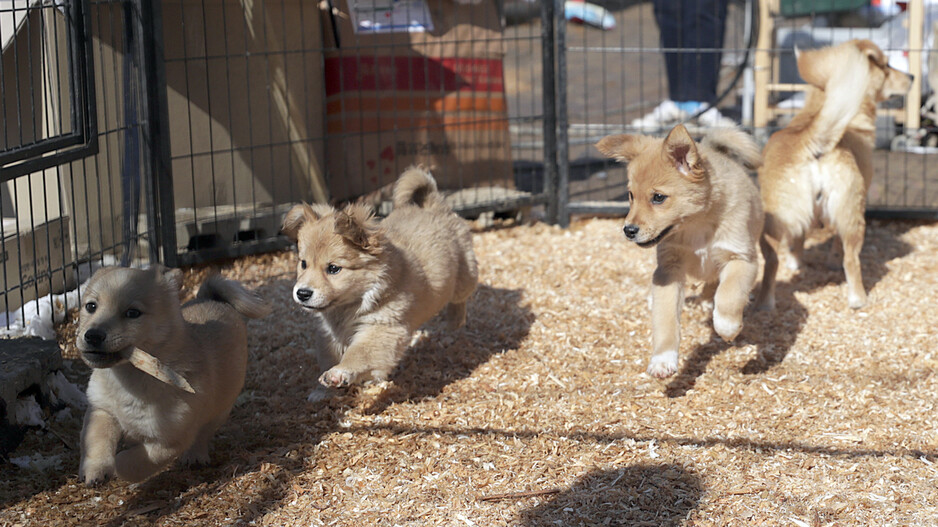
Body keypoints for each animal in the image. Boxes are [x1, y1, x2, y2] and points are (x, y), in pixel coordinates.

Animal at [76, 266, 268, 484]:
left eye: (132, 313)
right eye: (91, 306)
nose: (93, 335)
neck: (128, 378)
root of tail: (211, 298)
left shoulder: (169, 440)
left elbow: (135, 462)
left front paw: (119, 467)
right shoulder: (101, 409)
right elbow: (96, 440)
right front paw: (95, 470)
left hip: (219, 411)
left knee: (203, 434)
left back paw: (195, 455)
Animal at [280, 167, 478, 398]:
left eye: (333, 269)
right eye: (303, 263)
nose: (302, 293)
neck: (351, 306)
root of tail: (433, 206)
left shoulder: (383, 329)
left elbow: (357, 355)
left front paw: (339, 373)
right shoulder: (330, 335)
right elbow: (329, 358)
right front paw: (324, 392)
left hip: (465, 277)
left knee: (459, 300)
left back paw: (452, 327)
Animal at [596, 124, 764, 380]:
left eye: (658, 197)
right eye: (631, 195)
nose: (628, 230)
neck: (698, 225)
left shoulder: (741, 259)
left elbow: (729, 294)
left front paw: (727, 327)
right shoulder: (668, 270)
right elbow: (665, 319)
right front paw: (662, 360)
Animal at [756, 42, 912, 314]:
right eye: (887, 66)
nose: (912, 77)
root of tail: (810, 140)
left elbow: (798, 239)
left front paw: (796, 262)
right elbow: (836, 245)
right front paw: (830, 262)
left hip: (775, 220)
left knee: (772, 260)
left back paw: (766, 305)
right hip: (852, 215)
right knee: (851, 260)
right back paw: (858, 299)